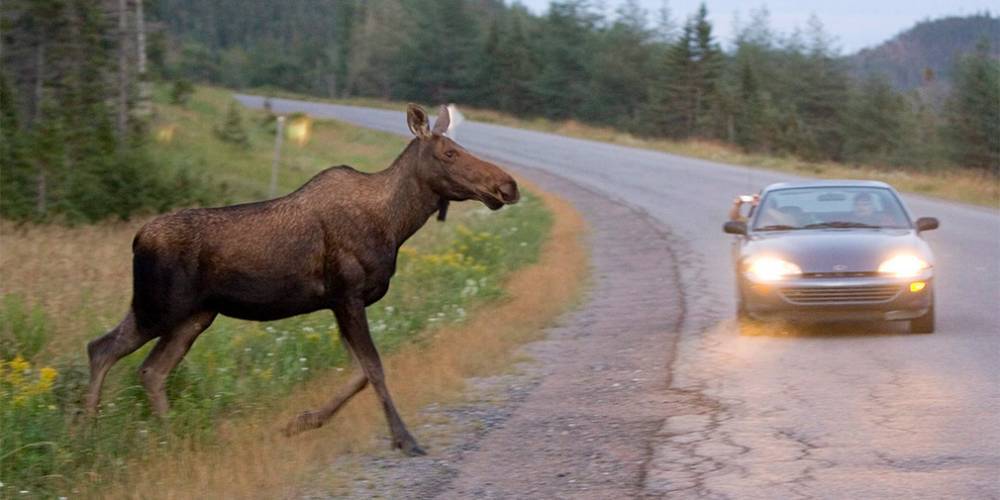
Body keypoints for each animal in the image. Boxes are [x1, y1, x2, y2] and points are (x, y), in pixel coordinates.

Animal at [86, 103, 520, 456]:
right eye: (449, 153)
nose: (508, 185)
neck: (396, 224)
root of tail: (137, 239)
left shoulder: (339, 302)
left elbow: (359, 373)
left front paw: (298, 423)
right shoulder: (347, 294)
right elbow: (375, 368)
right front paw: (405, 439)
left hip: (193, 315)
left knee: (150, 369)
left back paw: (167, 437)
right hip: (160, 307)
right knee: (102, 349)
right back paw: (87, 433)